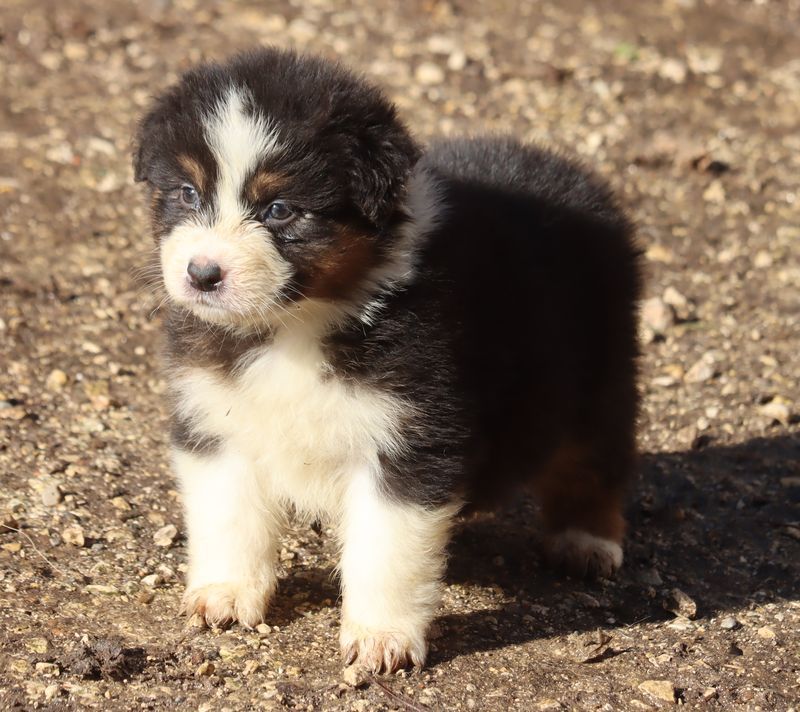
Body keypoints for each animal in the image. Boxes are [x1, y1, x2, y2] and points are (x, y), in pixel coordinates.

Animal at [133, 48, 644, 672]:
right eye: (186, 192)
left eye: (280, 210)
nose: (202, 274)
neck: (295, 325)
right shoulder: (215, 416)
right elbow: (228, 514)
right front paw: (226, 595)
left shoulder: (410, 438)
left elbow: (387, 548)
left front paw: (381, 639)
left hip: (599, 370)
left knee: (593, 461)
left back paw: (585, 540)